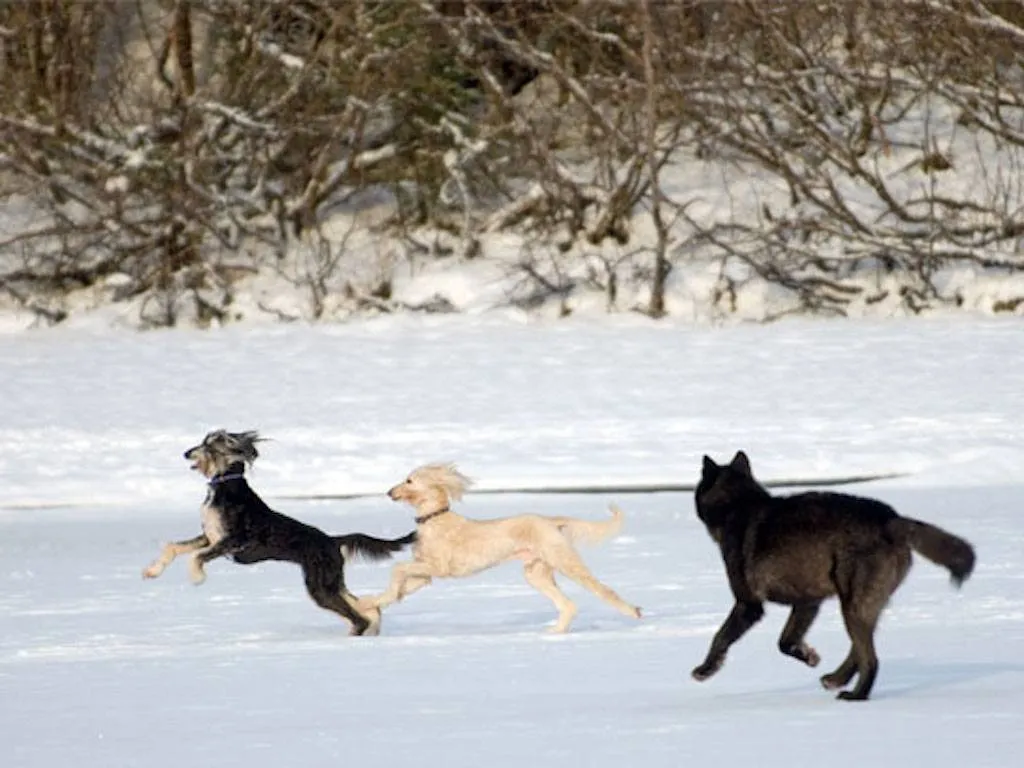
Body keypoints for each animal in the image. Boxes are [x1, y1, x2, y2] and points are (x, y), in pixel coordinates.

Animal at [144, 434, 415, 638]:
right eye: (203, 441)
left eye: (211, 444)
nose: (186, 453)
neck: (226, 487)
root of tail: (332, 540)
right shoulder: (210, 538)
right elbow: (174, 547)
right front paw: (152, 572)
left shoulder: (235, 540)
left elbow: (197, 557)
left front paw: (197, 577)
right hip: (330, 581)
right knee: (364, 608)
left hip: (319, 584)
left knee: (358, 617)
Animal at [692, 450, 970, 704]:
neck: (737, 505)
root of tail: (891, 518)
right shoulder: (807, 602)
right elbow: (785, 642)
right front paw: (809, 655)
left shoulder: (748, 605)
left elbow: (720, 637)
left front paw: (705, 670)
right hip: (861, 607)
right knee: (859, 651)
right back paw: (836, 680)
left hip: (852, 607)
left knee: (871, 659)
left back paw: (855, 695)